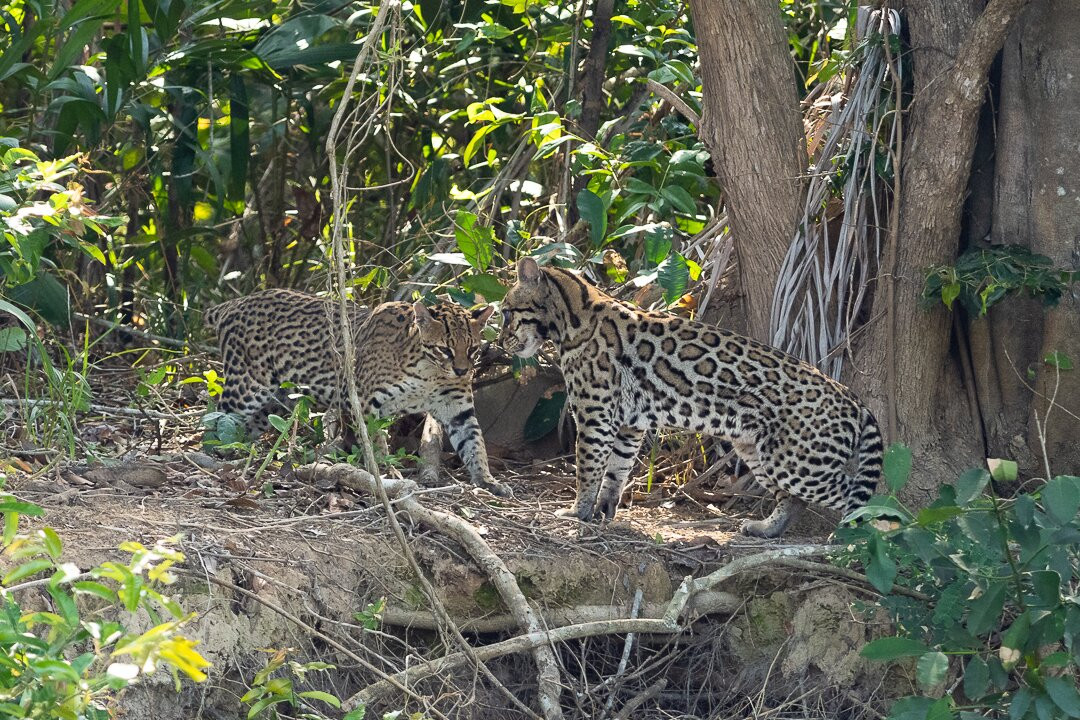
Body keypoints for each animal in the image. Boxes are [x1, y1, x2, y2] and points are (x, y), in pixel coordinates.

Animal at [204, 287, 507, 496]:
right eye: (445, 349)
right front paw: (384, 469)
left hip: (277, 400)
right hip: (247, 386)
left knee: (247, 425)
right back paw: (214, 452)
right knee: (218, 418)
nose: (462, 371)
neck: (429, 373)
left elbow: (474, 443)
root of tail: (232, 304)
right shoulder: (362, 401)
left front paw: (487, 479)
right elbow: (373, 440)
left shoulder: (458, 408)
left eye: (472, 349)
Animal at [501, 259, 881, 535]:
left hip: (797, 462)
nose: (501, 340)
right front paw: (603, 511)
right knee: (794, 500)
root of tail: (853, 398)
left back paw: (856, 536)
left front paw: (577, 511)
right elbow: (615, 471)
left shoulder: (594, 416)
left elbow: (589, 468)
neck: (572, 316)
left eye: (506, 311)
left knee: (858, 492)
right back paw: (767, 528)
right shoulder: (628, 424)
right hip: (759, 451)